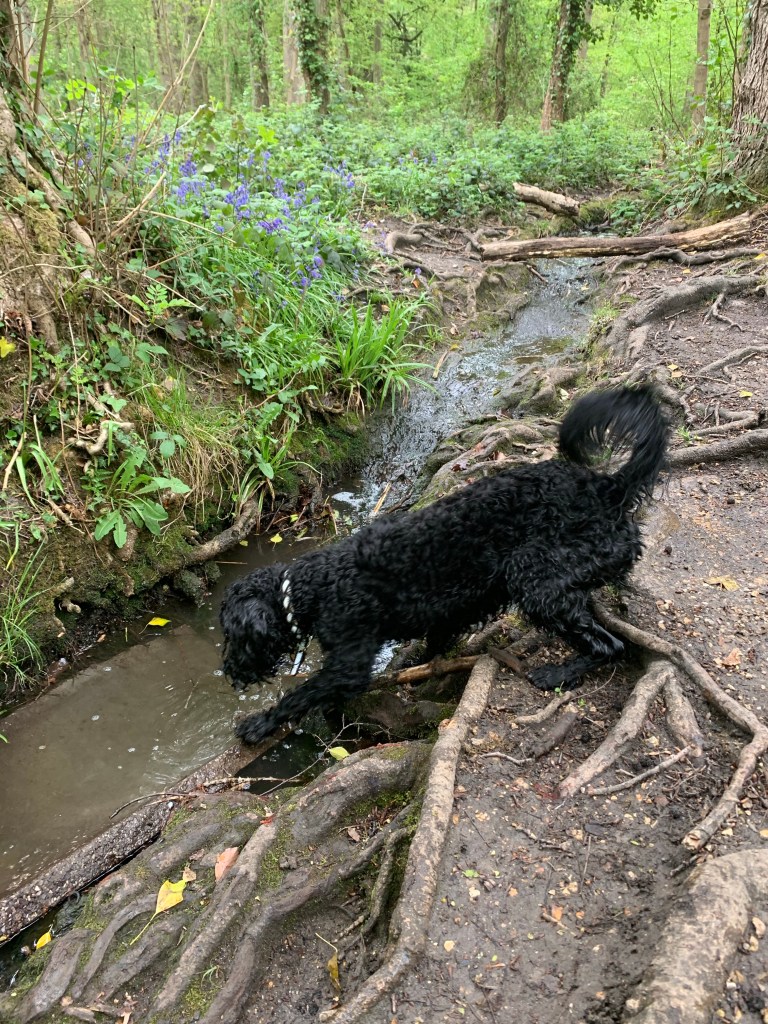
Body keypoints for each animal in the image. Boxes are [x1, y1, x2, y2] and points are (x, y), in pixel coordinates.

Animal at [221, 385, 668, 745]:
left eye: (235, 637)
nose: (229, 674)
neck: (313, 588)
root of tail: (608, 488)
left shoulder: (349, 663)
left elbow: (302, 693)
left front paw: (260, 723)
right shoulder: (445, 613)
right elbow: (434, 642)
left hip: (536, 580)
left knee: (609, 645)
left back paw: (558, 674)